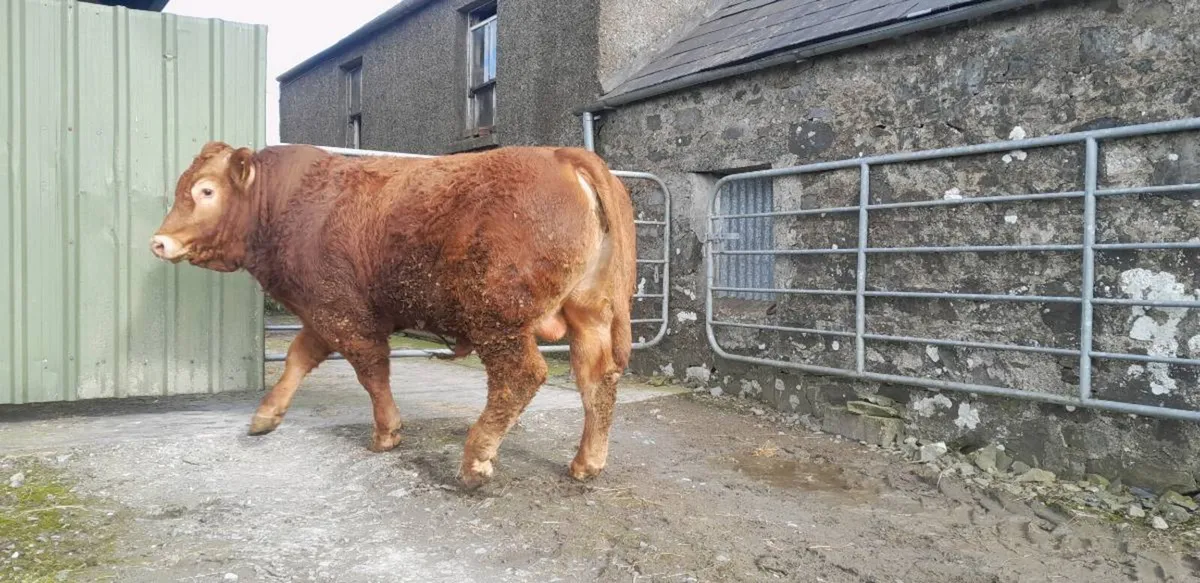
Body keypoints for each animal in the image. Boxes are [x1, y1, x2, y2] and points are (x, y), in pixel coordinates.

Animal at [150, 141, 636, 489]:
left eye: (206, 190)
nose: (159, 241)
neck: (289, 204)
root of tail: (560, 154)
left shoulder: (344, 315)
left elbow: (371, 371)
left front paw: (387, 432)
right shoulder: (322, 314)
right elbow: (297, 359)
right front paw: (266, 415)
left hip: (497, 318)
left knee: (520, 376)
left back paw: (475, 460)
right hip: (588, 312)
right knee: (597, 379)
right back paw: (586, 462)